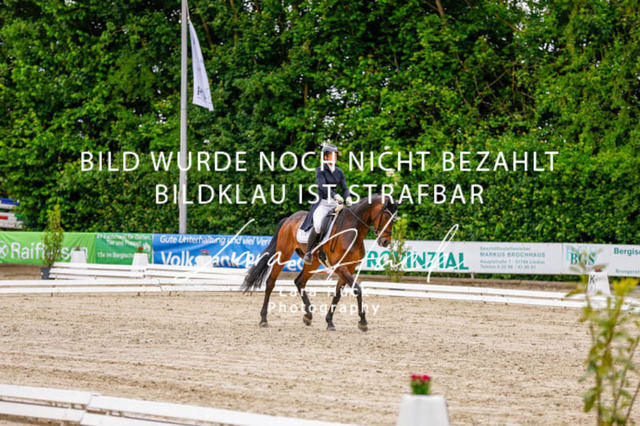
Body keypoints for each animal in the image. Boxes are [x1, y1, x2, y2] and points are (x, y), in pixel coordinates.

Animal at [241, 193, 399, 331]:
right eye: (386, 215)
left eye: (394, 218)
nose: (385, 242)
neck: (353, 230)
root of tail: (289, 218)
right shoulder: (340, 267)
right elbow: (357, 289)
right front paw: (363, 322)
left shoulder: (349, 267)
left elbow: (338, 294)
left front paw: (329, 321)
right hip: (284, 254)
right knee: (271, 282)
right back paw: (264, 319)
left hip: (313, 262)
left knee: (299, 281)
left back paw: (308, 316)